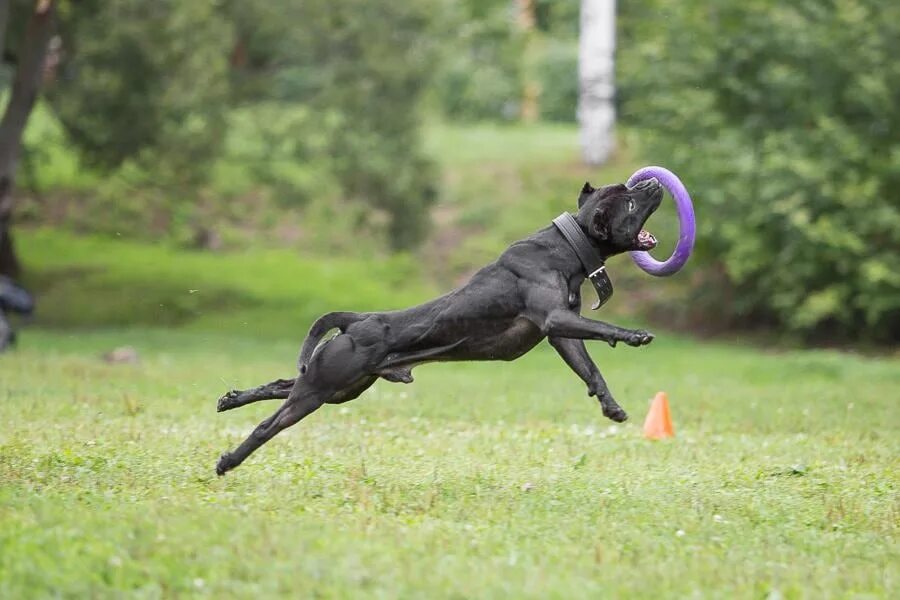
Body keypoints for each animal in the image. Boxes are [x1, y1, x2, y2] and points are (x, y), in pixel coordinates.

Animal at [215, 178, 664, 474]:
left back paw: (231, 399)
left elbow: (591, 370)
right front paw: (635, 336)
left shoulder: (560, 333)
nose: (655, 181)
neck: (567, 246)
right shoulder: (558, 319)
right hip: (320, 390)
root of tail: (356, 321)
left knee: (279, 385)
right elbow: (604, 326)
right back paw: (228, 461)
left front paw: (611, 406)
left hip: (340, 387)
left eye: (628, 188)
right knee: (267, 425)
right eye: (628, 204)